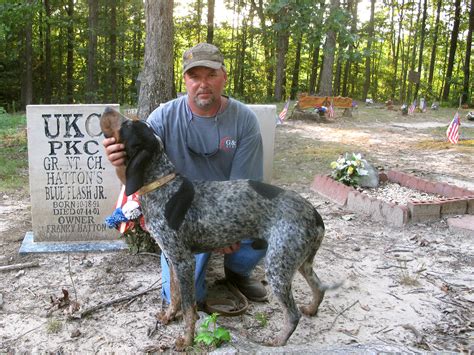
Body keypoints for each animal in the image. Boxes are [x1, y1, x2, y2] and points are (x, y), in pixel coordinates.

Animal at [99, 108, 330, 350]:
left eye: (127, 125)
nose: (107, 109)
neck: (162, 185)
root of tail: (315, 214)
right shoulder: (173, 259)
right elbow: (175, 295)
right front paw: (169, 316)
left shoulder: (184, 262)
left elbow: (189, 308)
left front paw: (187, 340)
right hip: (300, 261)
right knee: (319, 286)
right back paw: (311, 309)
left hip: (278, 266)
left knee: (293, 314)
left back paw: (278, 340)